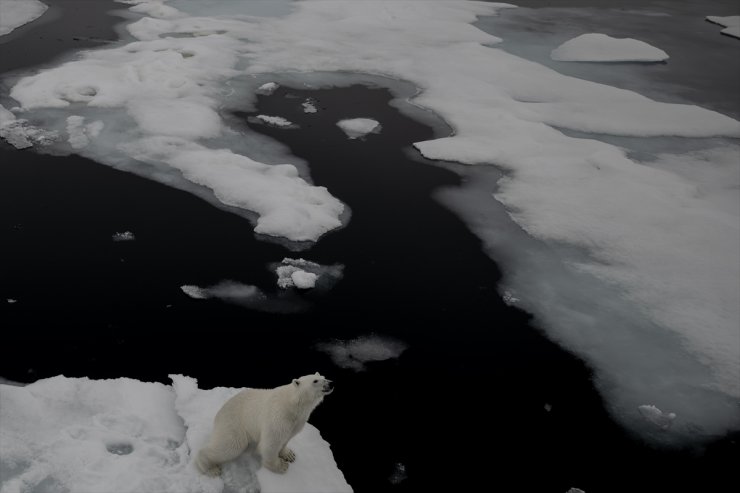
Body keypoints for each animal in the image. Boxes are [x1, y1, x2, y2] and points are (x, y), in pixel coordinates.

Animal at [198, 374, 334, 474]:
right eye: (315, 381)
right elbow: (271, 443)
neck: (293, 404)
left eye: (323, 376)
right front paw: (281, 466)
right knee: (230, 446)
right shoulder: (278, 415)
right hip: (233, 424)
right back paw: (210, 468)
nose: (331, 383)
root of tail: (218, 414)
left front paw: (289, 455)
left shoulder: (297, 421)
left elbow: (287, 438)